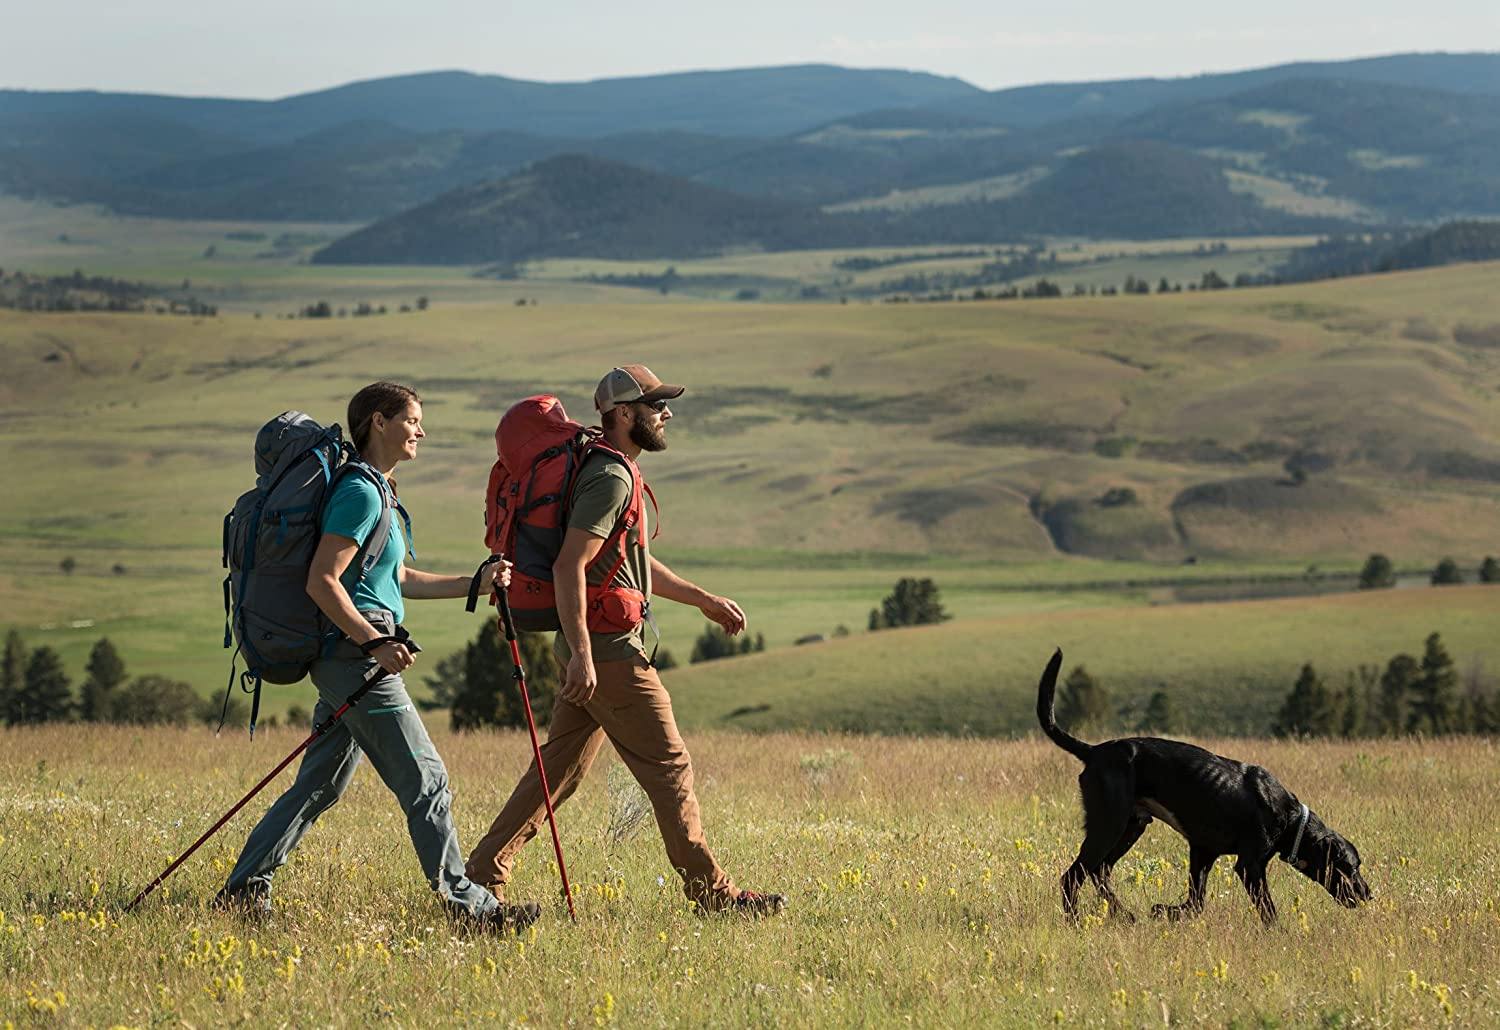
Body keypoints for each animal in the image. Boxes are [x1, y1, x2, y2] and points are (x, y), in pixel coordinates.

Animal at [1032, 647, 1374, 923]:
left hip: (1133, 825)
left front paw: (1165, 912)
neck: (1290, 817)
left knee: (1100, 871)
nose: (1368, 894)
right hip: (1109, 823)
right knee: (1073, 875)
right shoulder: (1249, 866)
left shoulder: (1203, 851)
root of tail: (1094, 751)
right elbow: (1267, 910)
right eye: (1350, 867)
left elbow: (1196, 903)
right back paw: (1076, 922)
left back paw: (1124, 915)